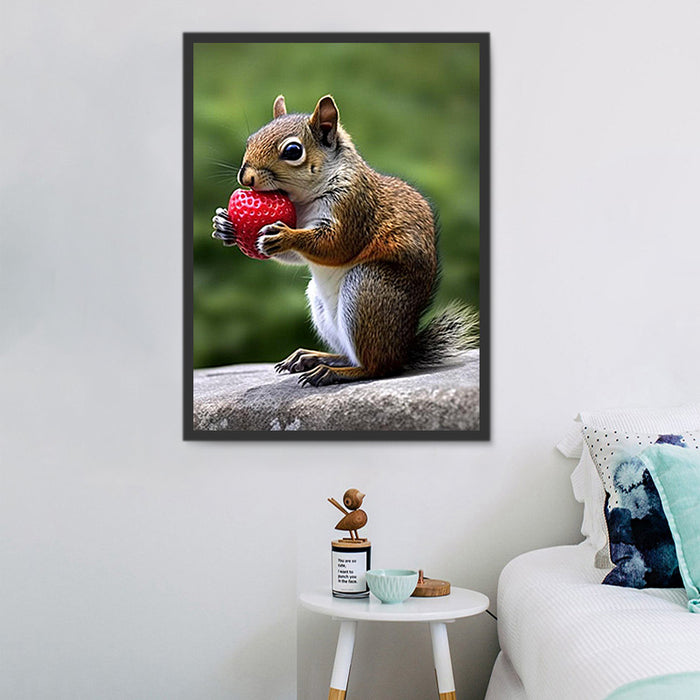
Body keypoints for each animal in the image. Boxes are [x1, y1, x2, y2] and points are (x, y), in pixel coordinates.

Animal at [212, 94, 478, 387]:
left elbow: (336, 246)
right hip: (322, 305)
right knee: (350, 355)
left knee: (376, 367)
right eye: (251, 140)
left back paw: (332, 372)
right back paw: (312, 357)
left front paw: (286, 236)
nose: (245, 177)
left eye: (292, 151)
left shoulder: (354, 208)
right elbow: (294, 257)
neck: (304, 200)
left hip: (368, 291)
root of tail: (402, 350)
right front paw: (224, 225)